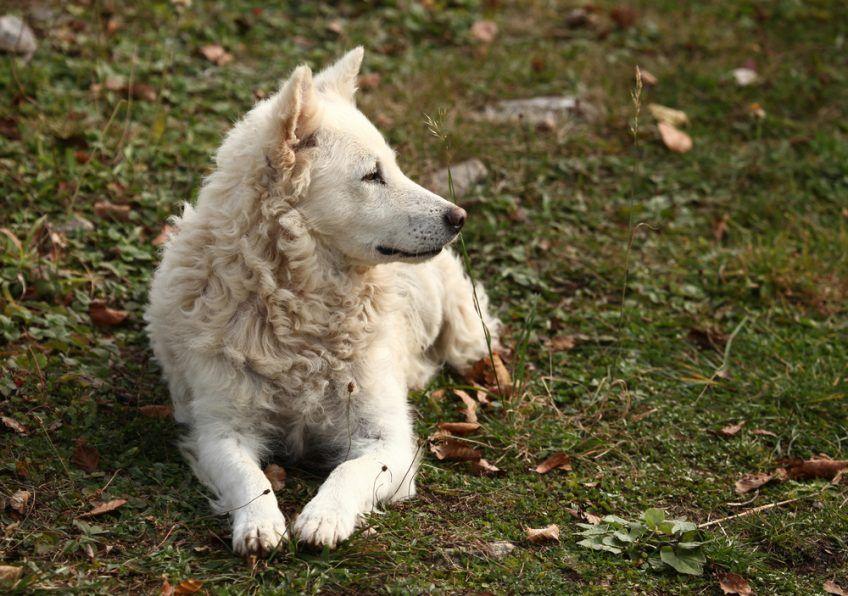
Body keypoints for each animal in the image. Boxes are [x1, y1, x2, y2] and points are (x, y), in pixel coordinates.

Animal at [147, 49, 500, 556]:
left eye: (394, 166)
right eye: (372, 175)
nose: (459, 217)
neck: (298, 308)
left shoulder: (386, 438)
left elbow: (348, 471)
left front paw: (323, 517)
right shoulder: (220, 430)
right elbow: (249, 478)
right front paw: (259, 524)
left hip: (463, 335)